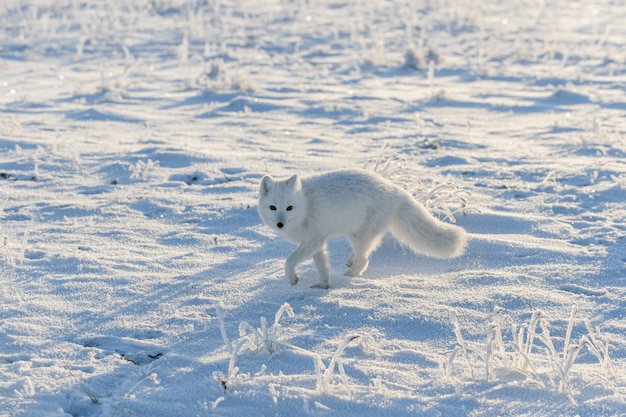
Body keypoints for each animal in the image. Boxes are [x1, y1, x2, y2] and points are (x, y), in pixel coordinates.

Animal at [256, 167, 466, 288]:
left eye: (289, 208)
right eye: (273, 207)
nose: (280, 224)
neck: (306, 205)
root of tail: (395, 189)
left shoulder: (313, 241)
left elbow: (289, 261)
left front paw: (293, 279)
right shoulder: (317, 243)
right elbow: (322, 267)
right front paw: (323, 285)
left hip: (359, 235)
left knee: (364, 260)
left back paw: (347, 277)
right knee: (365, 253)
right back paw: (349, 263)